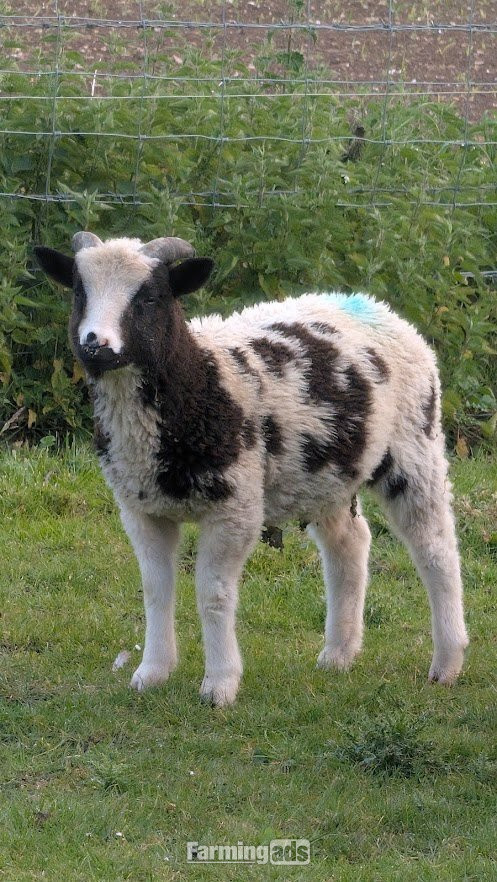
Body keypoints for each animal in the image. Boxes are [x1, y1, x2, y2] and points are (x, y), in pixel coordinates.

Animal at [34, 232, 468, 706]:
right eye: (79, 291)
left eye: (149, 297)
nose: (96, 344)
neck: (198, 384)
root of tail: (376, 306)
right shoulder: (140, 508)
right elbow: (155, 590)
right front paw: (152, 673)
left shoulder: (235, 506)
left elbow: (214, 594)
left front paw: (219, 685)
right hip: (323, 473)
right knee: (350, 543)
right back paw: (338, 654)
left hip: (414, 446)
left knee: (436, 548)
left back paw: (447, 662)